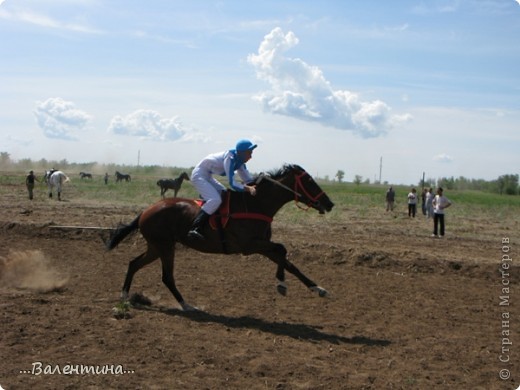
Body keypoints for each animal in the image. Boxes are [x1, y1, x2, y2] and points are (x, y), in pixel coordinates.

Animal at [105, 164, 334, 310]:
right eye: (310, 181)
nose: (330, 203)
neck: (256, 204)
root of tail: (146, 211)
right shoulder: (250, 245)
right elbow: (282, 250)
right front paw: (281, 284)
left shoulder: (262, 245)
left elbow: (287, 261)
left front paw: (317, 288)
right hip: (164, 246)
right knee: (166, 276)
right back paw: (186, 305)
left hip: (156, 246)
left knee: (134, 263)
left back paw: (125, 296)